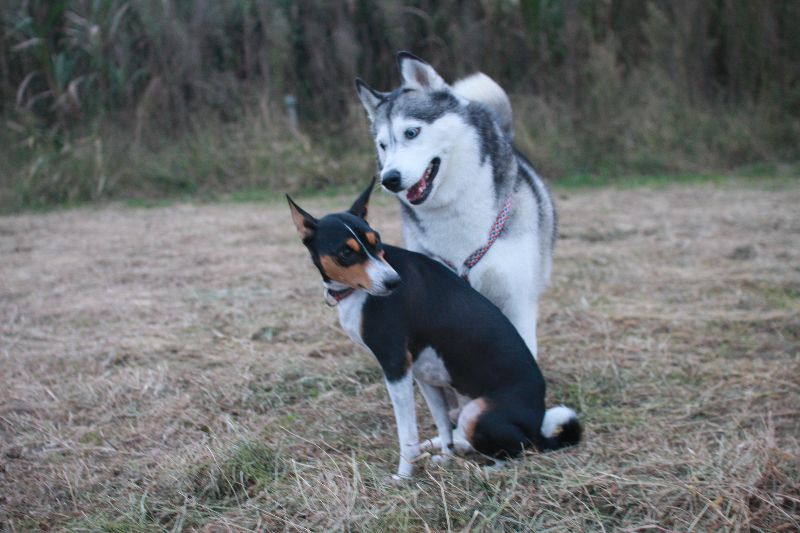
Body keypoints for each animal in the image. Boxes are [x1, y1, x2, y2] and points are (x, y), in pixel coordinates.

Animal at [287, 181, 580, 478]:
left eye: (376, 241)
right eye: (346, 252)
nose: (394, 282)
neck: (355, 293)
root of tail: (537, 428)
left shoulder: (395, 367)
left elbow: (407, 434)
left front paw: (403, 476)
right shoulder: (422, 373)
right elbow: (440, 422)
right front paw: (446, 457)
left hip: (474, 414)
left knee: (518, 450)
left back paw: (485, 471)